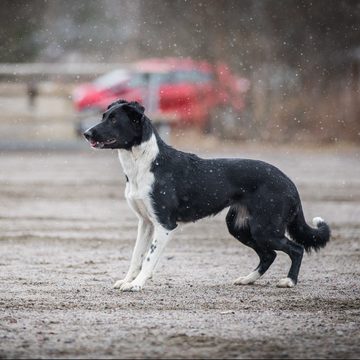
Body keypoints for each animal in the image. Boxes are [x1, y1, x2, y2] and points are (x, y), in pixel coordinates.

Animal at [83, 99, 330, 292]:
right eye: (104, 116)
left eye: (114, 120)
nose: (86, 133)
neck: (144, 163)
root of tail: (289, 182)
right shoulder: (145, 223)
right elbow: (136, 256)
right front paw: (127, 280)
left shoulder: (164, 225)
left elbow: (149, 258)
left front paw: (137, 284)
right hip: (239, 226)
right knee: (269, 255)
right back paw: (248, 279)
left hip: (265, 228)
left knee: (295, 249)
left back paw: (289, 281)